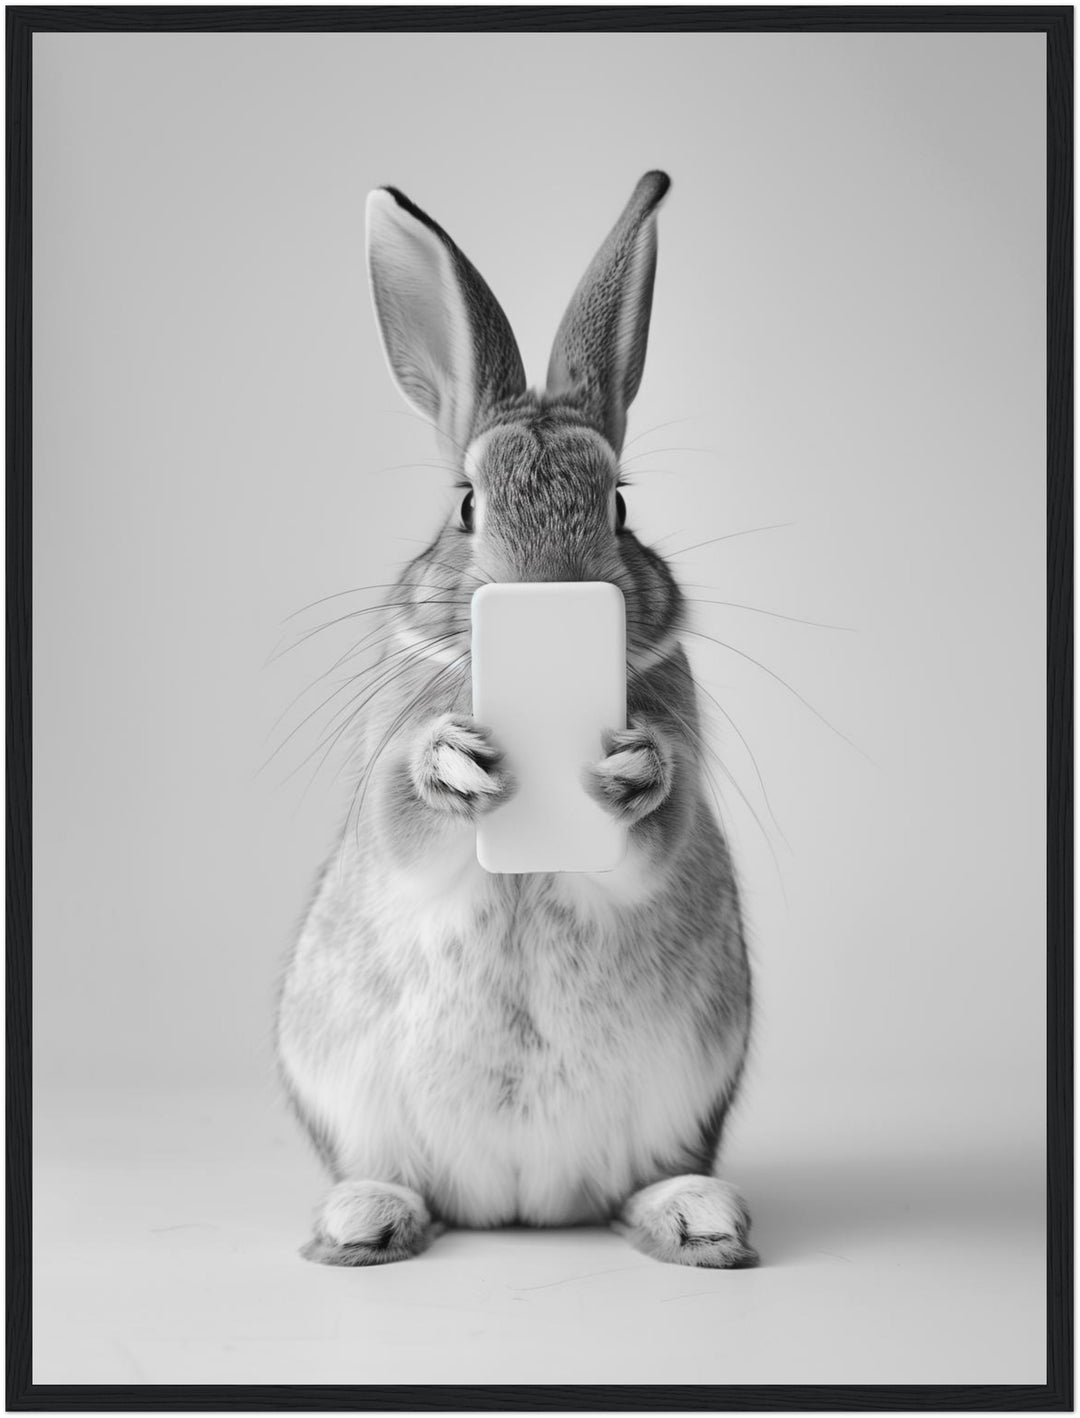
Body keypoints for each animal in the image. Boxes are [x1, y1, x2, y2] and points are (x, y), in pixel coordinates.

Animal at [275, 170, 757, 1269]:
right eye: (465, 504)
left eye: (618, 504)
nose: (549, 587)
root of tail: (521, 1208)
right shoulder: (388, 773)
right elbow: (403, 820)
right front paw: (453, 763)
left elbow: (657, 833)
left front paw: (633, 769)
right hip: (346, 1091)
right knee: (398, 1177)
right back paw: (365, 1220)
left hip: (687, 1094)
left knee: (639, 1184)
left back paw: (695, 1216)